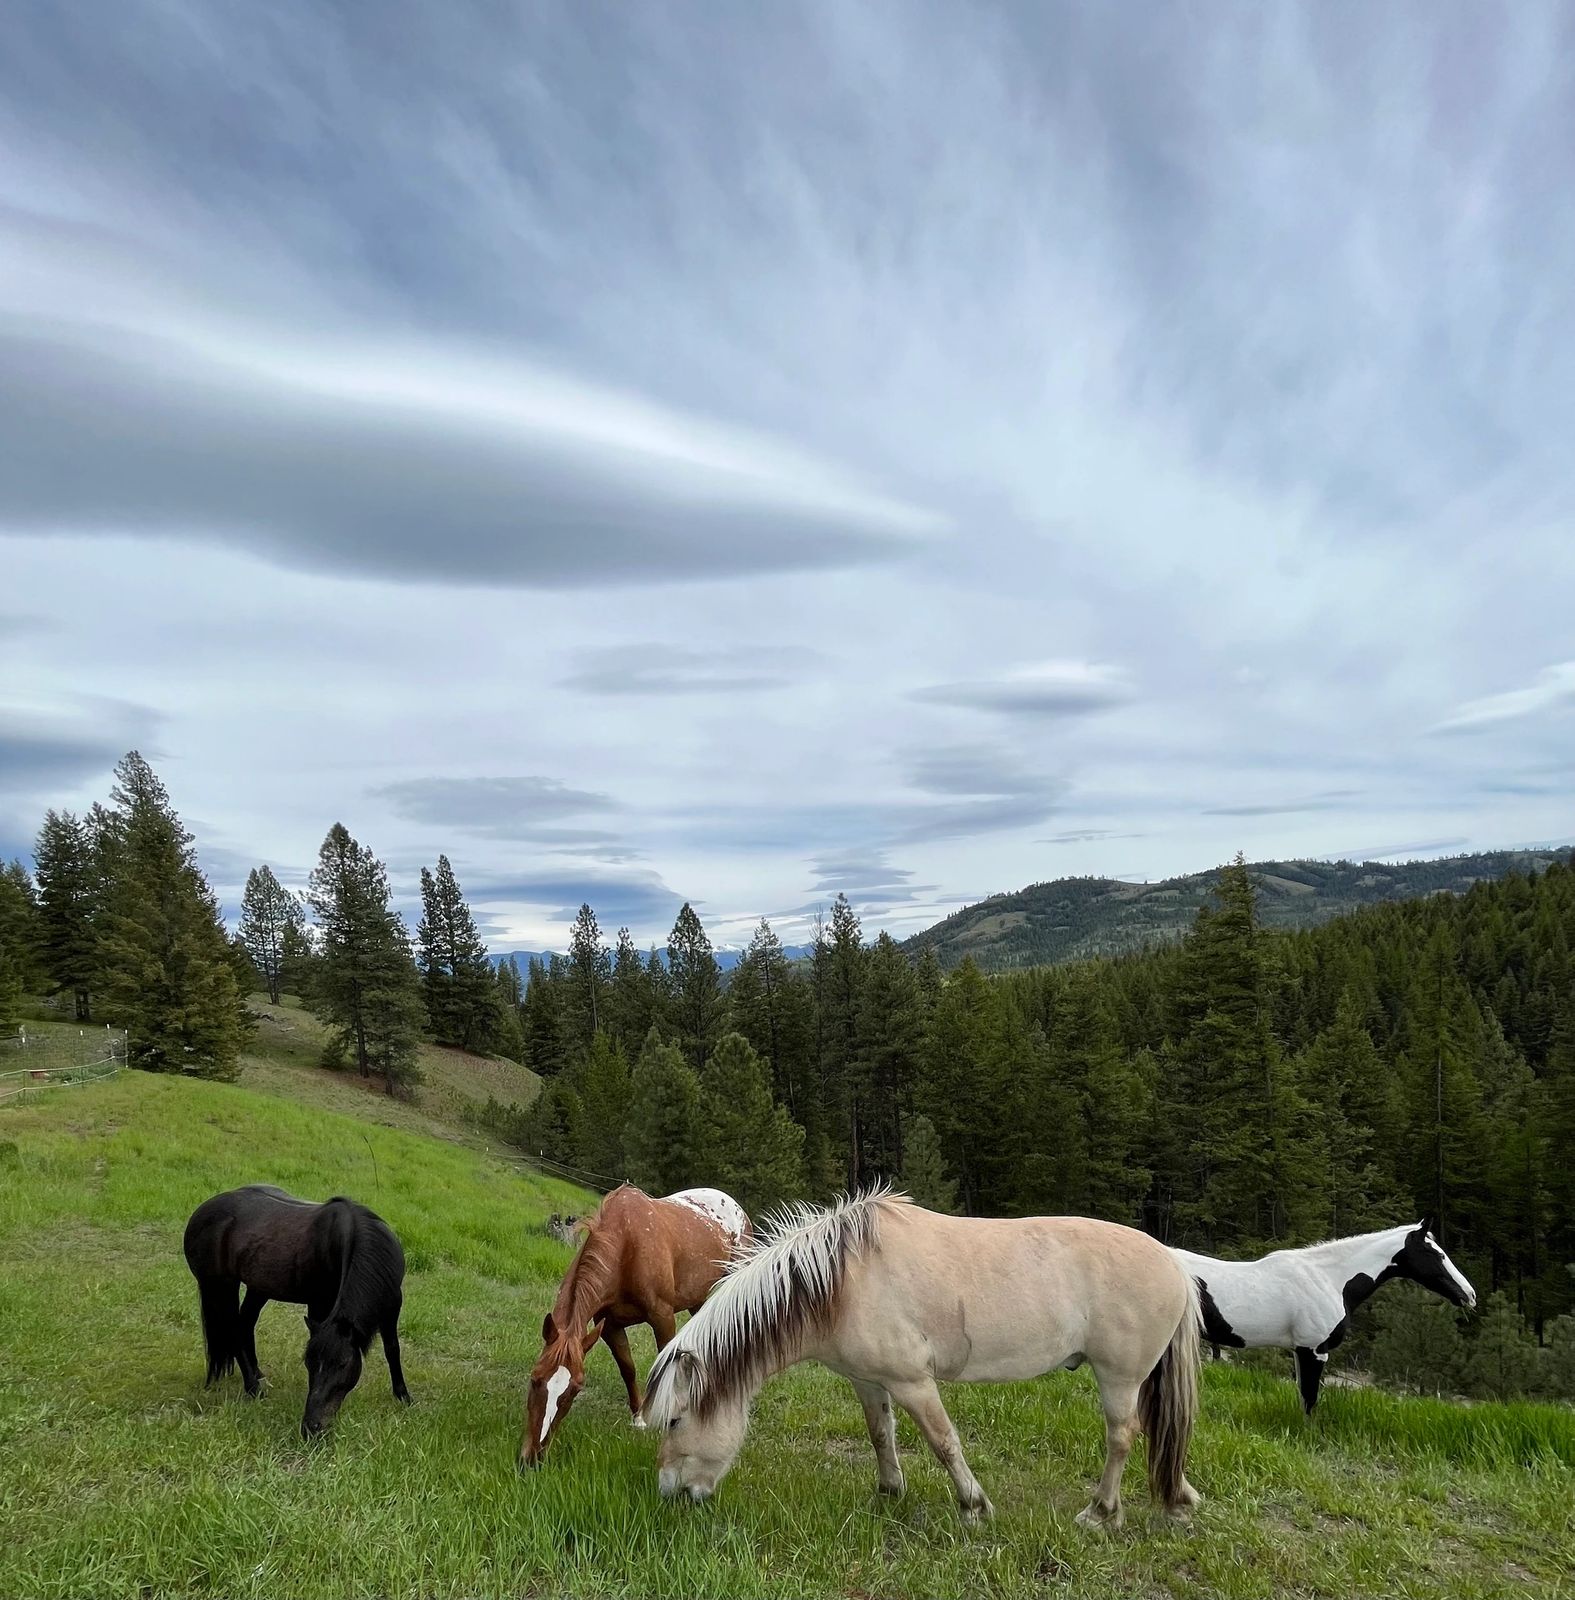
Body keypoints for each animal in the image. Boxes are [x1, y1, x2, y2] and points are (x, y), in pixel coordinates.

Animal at [182, 1184, 412, 1437]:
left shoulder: (391, 1306)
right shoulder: (319, 1304)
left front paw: (403, 1397)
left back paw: (258, 1376)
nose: (312, 1428)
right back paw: (254, 1389)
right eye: (308, 1363)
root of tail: (201, 1212)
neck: (355, 1238)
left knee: (245, 1325)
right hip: (220, 1286)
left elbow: (392, 1349)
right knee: (234, 1331)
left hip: (257, 1287)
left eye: (343, 1364)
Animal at [518, 1183, 749, 1467]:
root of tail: (737, 1208)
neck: (627, 1246)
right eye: (535, 1379)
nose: (532, 1458)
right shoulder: (609, 1326)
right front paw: (638, 1418)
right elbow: (627, 1367)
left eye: (574, 1390)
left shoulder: (662, 1316)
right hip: (698, 1300)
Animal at [643, 1187, 1203, 1530]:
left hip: (1119, 1376)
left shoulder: (912, 1382)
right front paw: (889, 1491)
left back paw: (1100, 1512)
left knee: (1122, 1436)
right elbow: (880, 1433)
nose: (669, 1492)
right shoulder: (867, 1380)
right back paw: (1179, 1499)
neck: (839, 1282)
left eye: (674, 1420)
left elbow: (943, 1442)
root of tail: (1173, 1262)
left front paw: (974, 1506)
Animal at [1172, 1218, 1476, 1412]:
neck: (1329, 1280)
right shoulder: (1315, 1350)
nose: (1470, 1295)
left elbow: (1303, 1396)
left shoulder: (1301, 1350)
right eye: (1436, 1253)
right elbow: (1310, 1400)